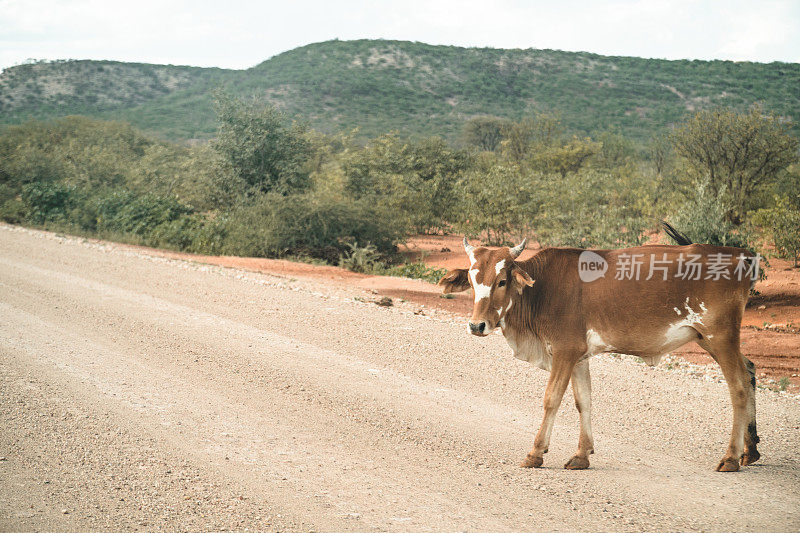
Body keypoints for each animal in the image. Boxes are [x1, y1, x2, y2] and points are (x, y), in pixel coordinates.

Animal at [440, 228, 760, 470]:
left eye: (502, 281)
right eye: (472, 282)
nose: (477, 325)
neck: (542, 289)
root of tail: (740, 255)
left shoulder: (565, 351)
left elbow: (551, 399)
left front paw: (536, 452)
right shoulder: (578, 357)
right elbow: (584, 401)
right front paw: (582, 454)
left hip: (720, 337)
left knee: (739, 387)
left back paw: (731, 458)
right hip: (709, 339)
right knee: (750, 372)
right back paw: (751, 450)